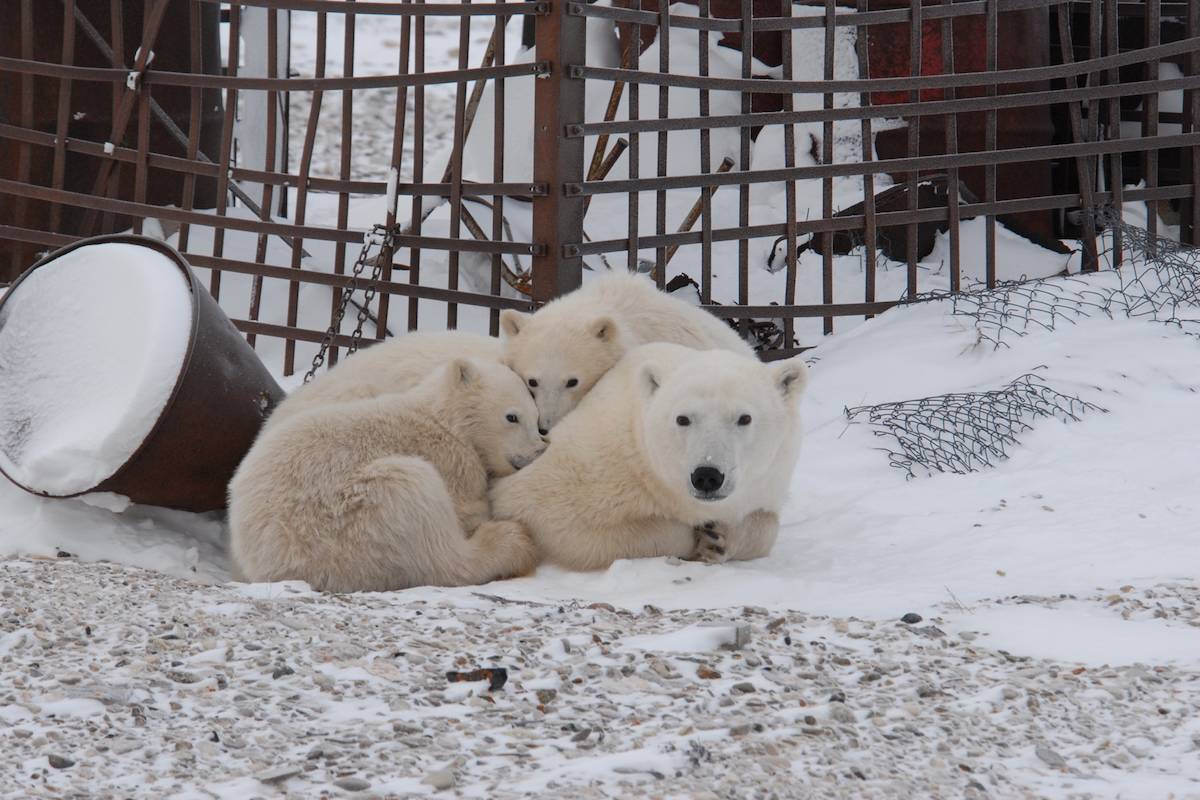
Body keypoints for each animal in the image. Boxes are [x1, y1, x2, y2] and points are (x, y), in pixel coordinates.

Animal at [228, 358, 545, 592]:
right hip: (348, 521)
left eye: (537, 417)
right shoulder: (452, 460)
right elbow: (467, 509)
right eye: (512, 417)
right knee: (428, 529)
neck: (444, 421)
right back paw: (512, 541)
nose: (539, 450)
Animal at [489, 342, 808, 571]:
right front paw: (698, 538)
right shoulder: (597, 463)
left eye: (744, 418)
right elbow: (548, 513)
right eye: (683, 418)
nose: (707, 476)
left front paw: (717, 538)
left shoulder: (767, 484)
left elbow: (766, 525)